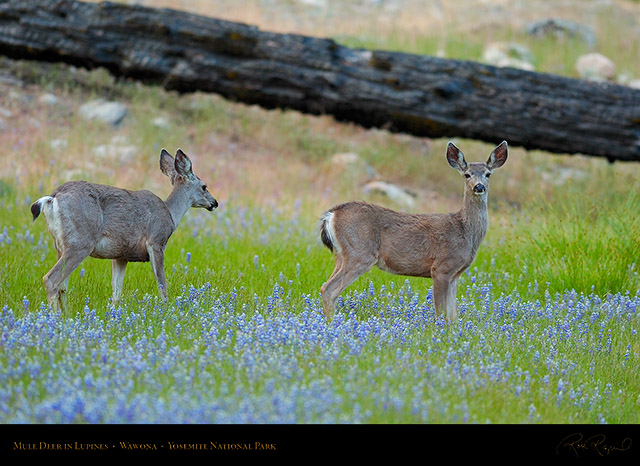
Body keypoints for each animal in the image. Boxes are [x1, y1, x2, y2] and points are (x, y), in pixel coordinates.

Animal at [30, 147, 218, 312]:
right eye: (204, 186)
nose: (215, 202)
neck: (171, 213)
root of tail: (52, 198)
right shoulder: (156, 241)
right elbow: (162, 284)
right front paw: (167, 310)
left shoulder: (121, 255)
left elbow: (116, 293)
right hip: (80, 242)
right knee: (51, 279)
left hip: (60, 245)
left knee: (62, 286)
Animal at [322, 142, 508, 322]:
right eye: (467, 174)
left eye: (488, 174)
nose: (479, 186)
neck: (465, 231)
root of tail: (332, 214)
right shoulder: (441, 267)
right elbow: (441, 312)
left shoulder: (455, 274)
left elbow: (453, 315)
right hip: (360, 252)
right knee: (328, 289)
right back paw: (332, 324)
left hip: (341, 255)